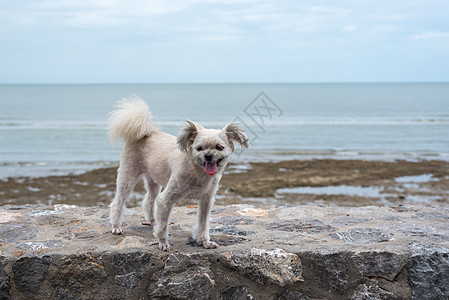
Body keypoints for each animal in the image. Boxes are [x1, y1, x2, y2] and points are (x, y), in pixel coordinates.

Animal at [107, 98, 248, 251]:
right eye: (199, 148)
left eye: (219, 147)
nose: (208, 155)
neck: (196, 171)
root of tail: (145, 134)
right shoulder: (166, 199)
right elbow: (163, 226)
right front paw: (163, 242)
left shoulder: (206, 200)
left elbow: (203, 224)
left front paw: (204, 241)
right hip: (127, 178)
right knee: (118, 203)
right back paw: (116, 226)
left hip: (153, 181)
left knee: (149, 201)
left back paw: (153, 222)